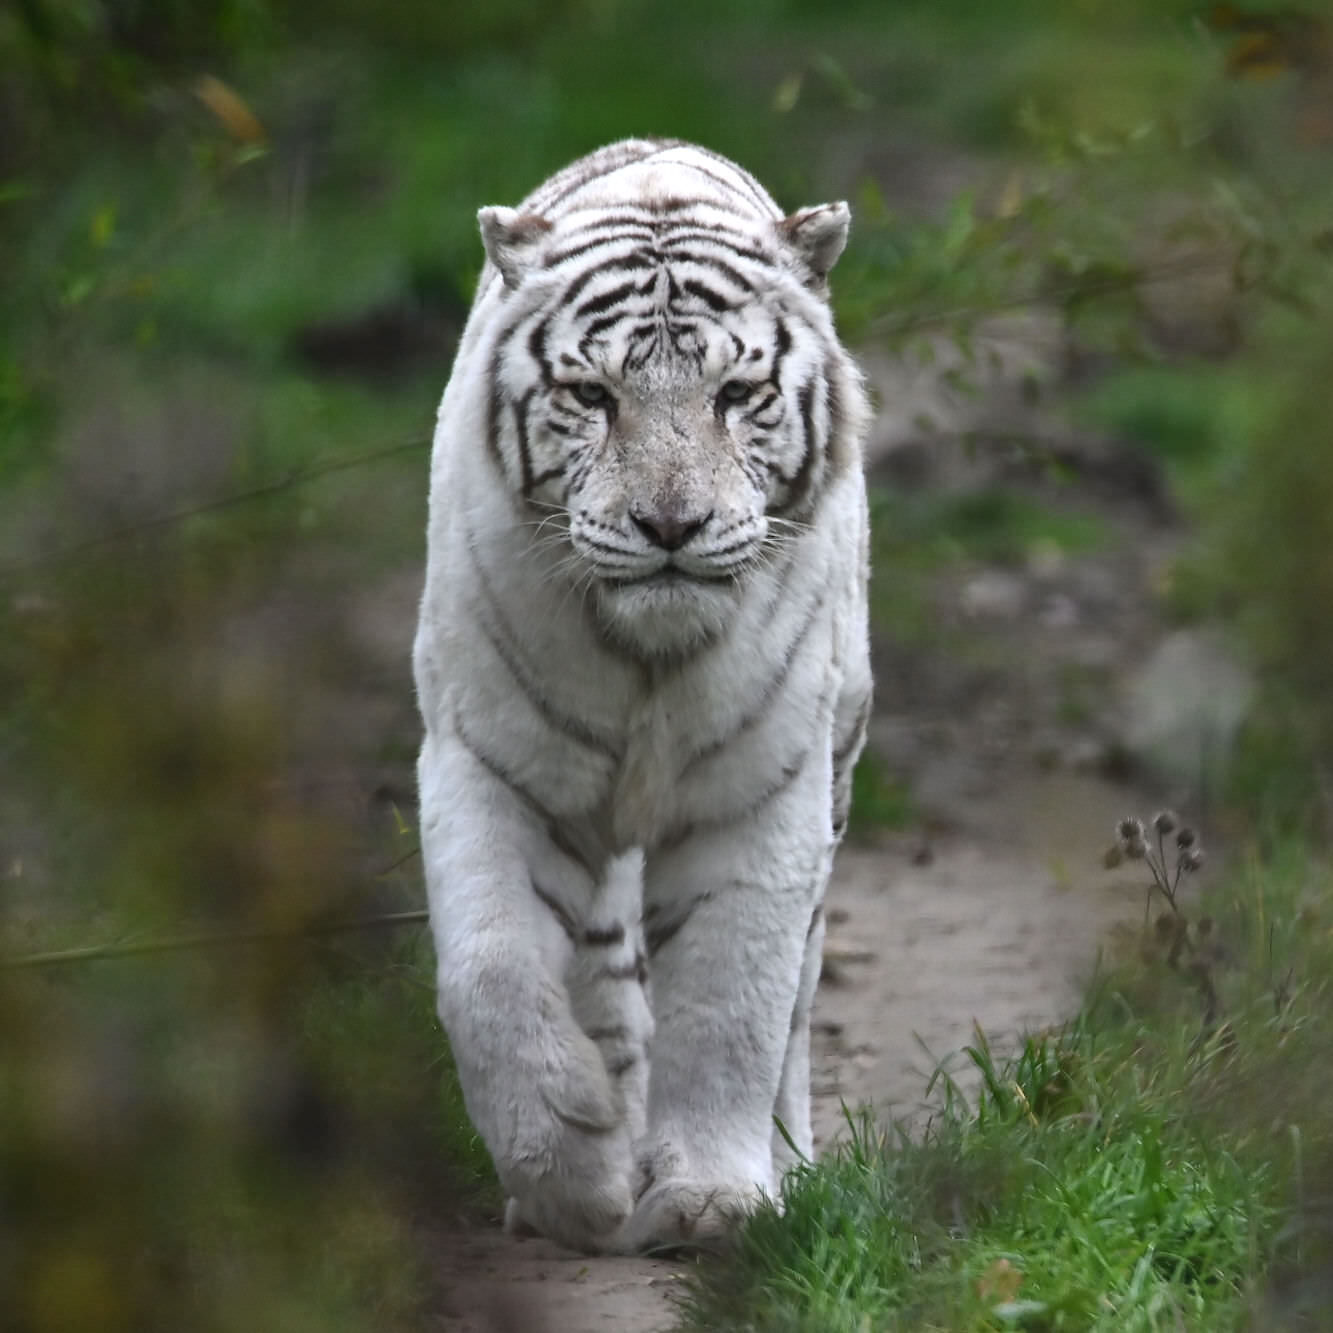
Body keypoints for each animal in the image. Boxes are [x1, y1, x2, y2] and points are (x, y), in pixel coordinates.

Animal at [415, 135, 874, 1247]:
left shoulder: (762, 795)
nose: (671, 526)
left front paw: (711, 1198)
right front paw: (568, 1169)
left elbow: (732, 1001)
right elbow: (489, 972)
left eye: (736, 395)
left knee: (796, 995)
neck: (649, 661)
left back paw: (782, 1163)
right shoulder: (485, 762)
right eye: (592, 396)